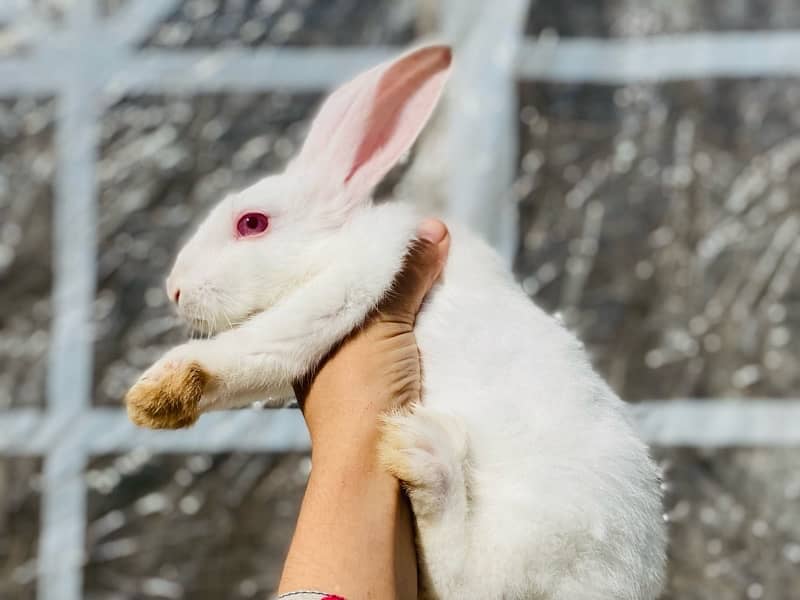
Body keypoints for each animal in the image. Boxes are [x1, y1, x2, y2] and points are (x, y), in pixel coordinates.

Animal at [128, 44, 668, 596]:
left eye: (252, 223)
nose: (174, 289)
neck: (331, 243)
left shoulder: (355, 278)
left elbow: (262, 343)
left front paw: (156, 393)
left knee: (469, 578)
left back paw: (427, 457)